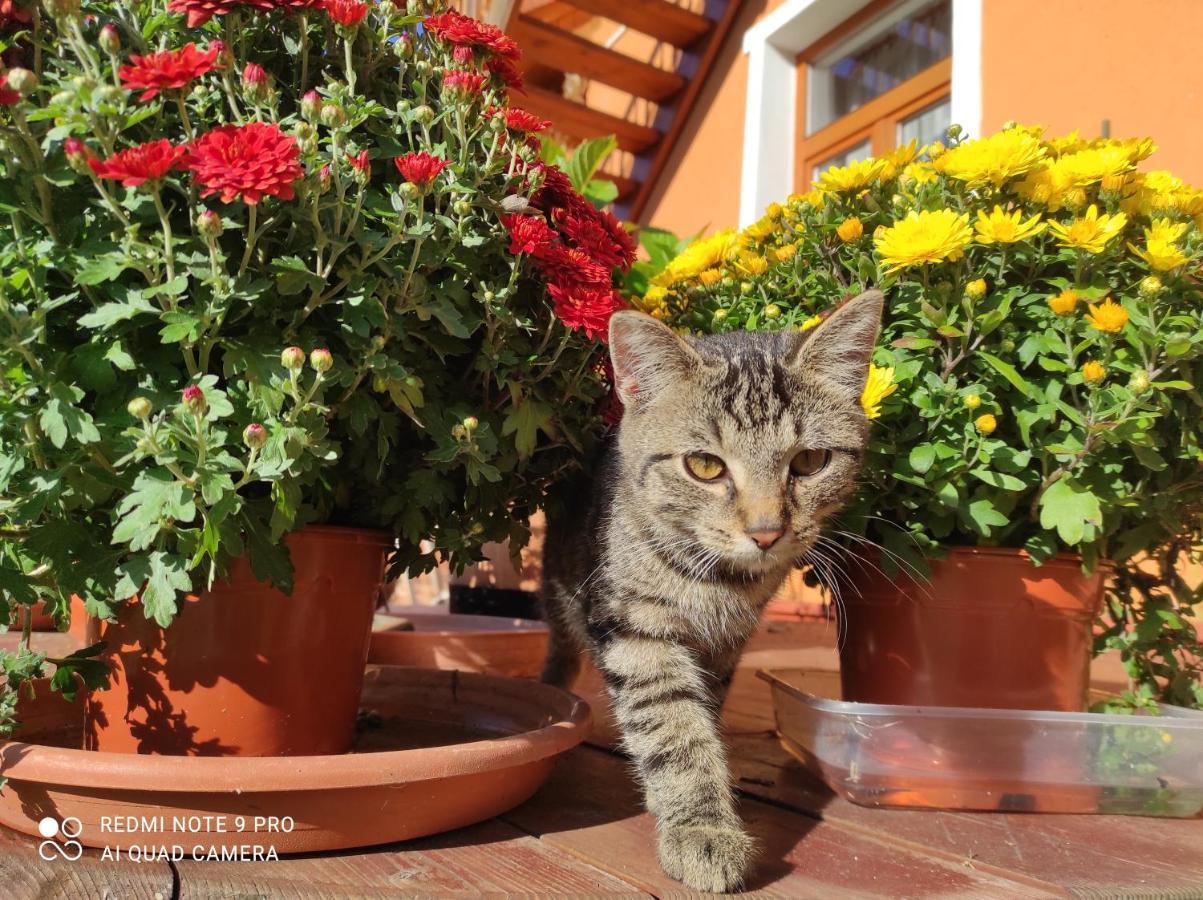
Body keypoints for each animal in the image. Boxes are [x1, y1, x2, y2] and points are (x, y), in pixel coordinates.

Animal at [541, 289, 890, 895]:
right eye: (704, 465)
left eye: (810, 461)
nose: (767, 531)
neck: (720, 581)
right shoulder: (638, 630)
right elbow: (673, 725)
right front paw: (701, 829)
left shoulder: (727, 644)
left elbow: (703, 708)